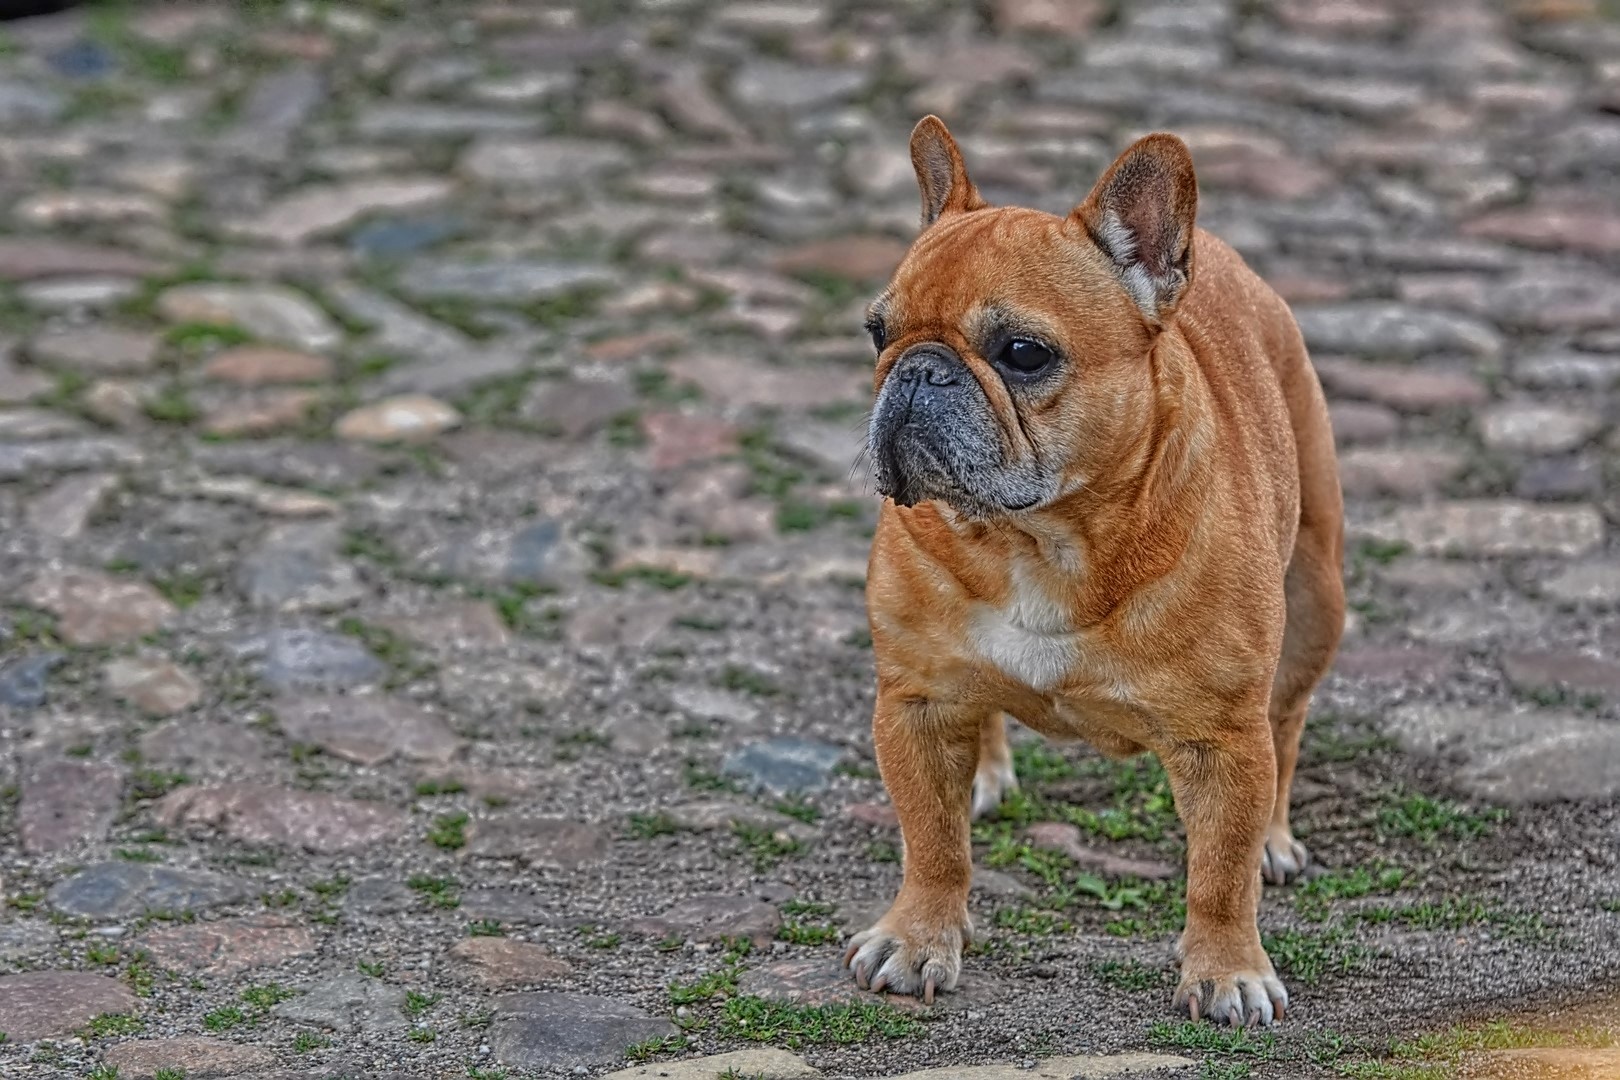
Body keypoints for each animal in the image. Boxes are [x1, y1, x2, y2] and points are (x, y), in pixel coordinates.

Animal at [848, 118, 1341, 1029]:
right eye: (876, 331)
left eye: (1023, 353)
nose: (918, 369)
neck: (1034, 539)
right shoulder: (916, 703)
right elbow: (931, 842)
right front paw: (917, 937)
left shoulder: (1224, 738)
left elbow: (1219, 875)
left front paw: (1228, 969)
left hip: (1316, 598)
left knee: (1287, 726)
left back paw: (1275, 838)